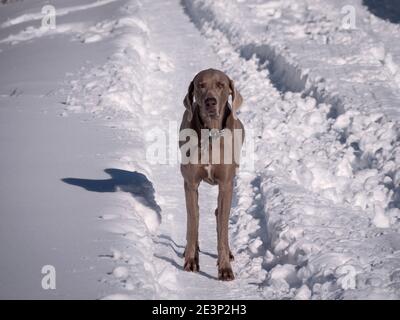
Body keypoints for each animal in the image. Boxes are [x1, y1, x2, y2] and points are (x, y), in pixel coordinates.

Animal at [179, 68, 244, 280]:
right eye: (200, 85)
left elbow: (223, 227)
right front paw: (191, 261)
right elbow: (192, 223)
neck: (211, 134)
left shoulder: (226, 185)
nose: (210, 102)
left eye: (220, 85)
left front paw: (225, 268)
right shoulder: (190, 183)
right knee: (195, 215)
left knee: (219, 215)